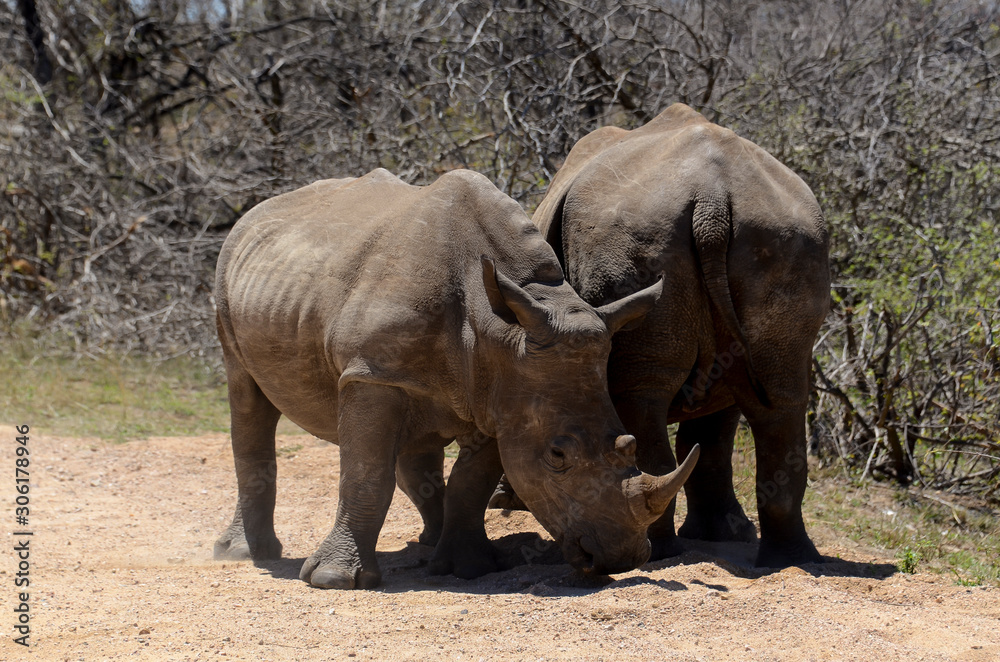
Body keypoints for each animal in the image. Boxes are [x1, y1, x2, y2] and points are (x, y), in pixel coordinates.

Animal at [212, 168, 700, 589]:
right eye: (557, 456)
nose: (623, 558)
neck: (498, 331)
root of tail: (254, 215)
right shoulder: (373, 374)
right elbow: (366, 472)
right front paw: (334, 581)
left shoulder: (503, 385)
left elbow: (472, 480)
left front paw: (470, 568)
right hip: (229, 282)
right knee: (247, 399)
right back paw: (245, 555)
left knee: (416, 443)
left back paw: (433, 545)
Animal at [525, 104, 830, 568]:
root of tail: (713, 202)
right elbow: (713, 434)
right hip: (786, 238)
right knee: (781, 397)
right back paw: (791, 560)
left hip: (634, 238)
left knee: (642, 394)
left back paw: (657, 553)